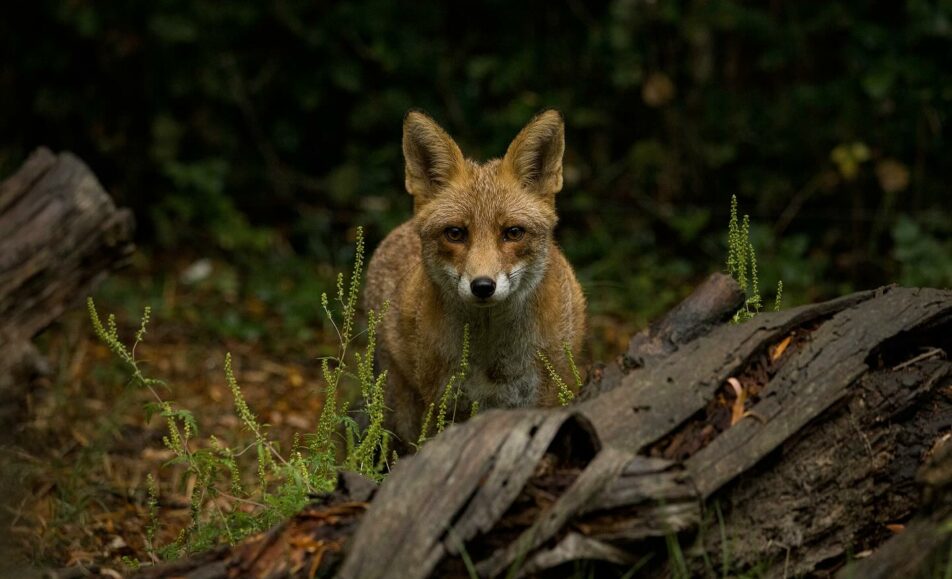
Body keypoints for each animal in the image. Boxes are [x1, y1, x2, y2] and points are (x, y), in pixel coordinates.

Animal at [366, 110, 584, 448]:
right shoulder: (444, 407)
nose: (483, 286)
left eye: (513, 233)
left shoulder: (542, 401)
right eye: (455, 233)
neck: (492, 360)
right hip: (404, 410)